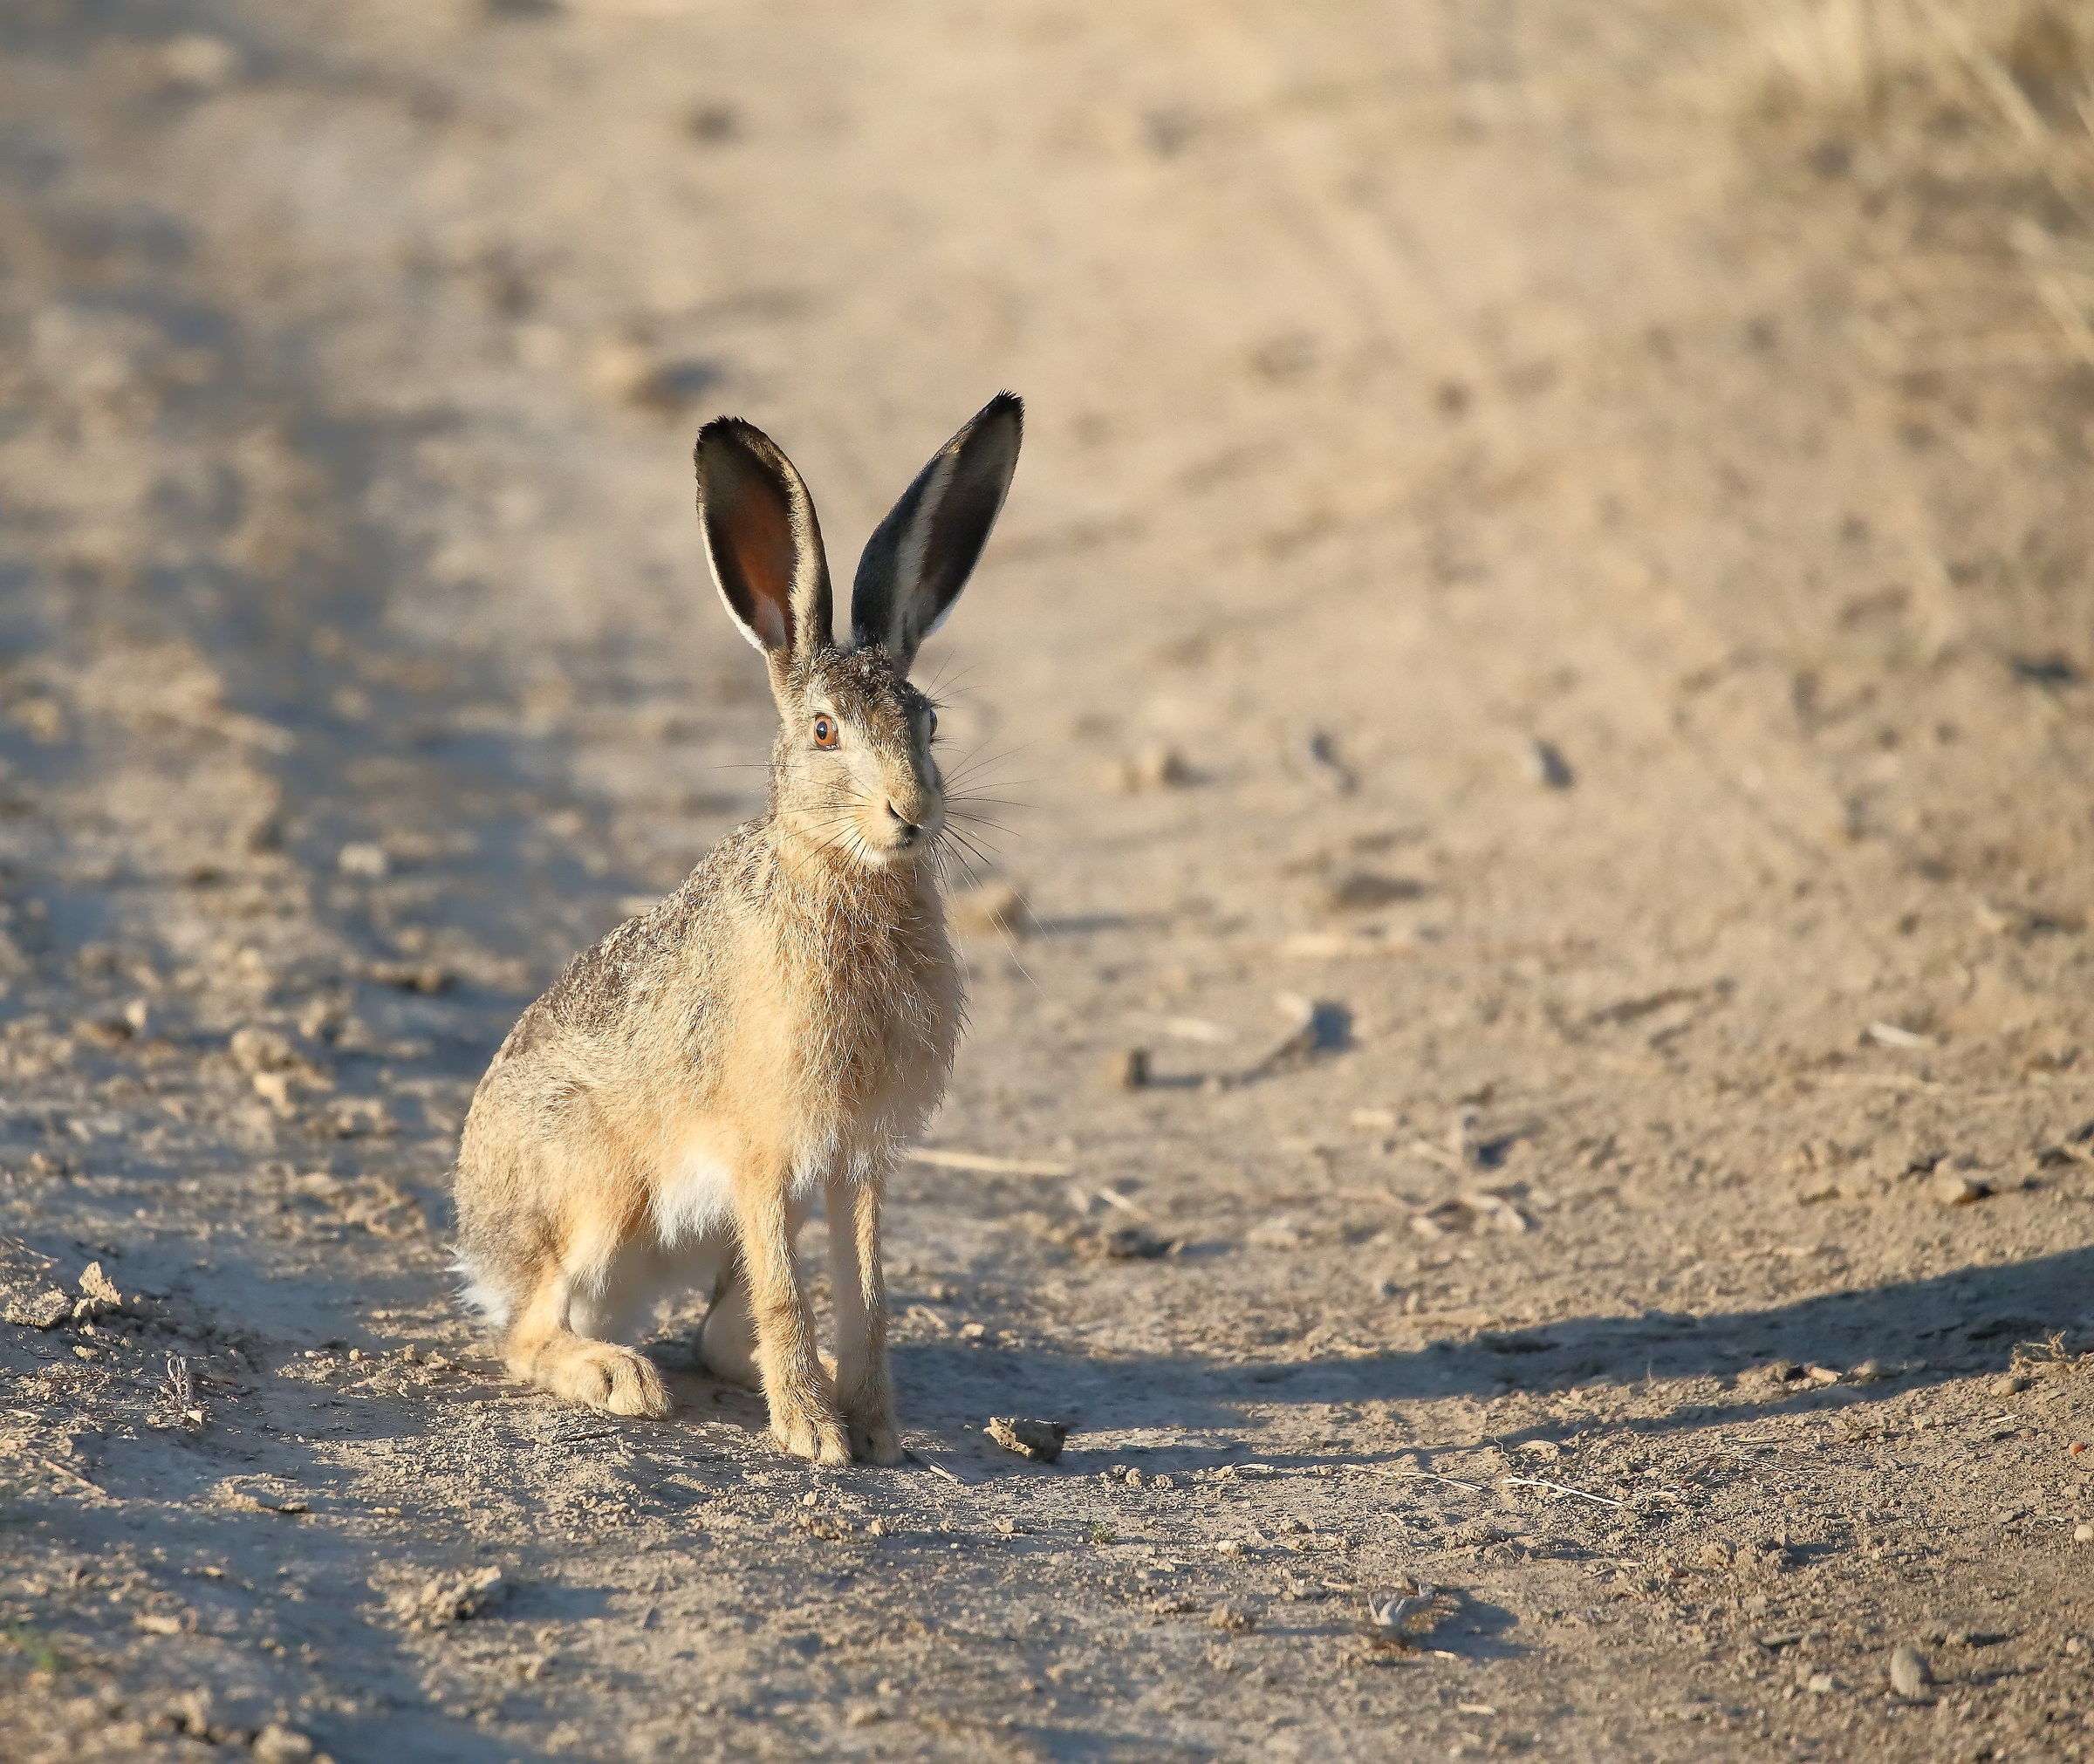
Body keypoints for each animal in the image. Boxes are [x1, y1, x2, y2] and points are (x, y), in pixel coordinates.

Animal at [451, 393, 1023, 1465]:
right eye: (825, 732)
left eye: (929, 724)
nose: (911, 813)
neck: (843, 872)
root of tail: (482, 1243)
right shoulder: (764, 1147)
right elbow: (793, 1295)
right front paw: (815, 1437)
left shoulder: (856, 1158)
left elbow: (868, 1292)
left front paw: (876, 1429)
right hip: (599, 1197)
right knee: (530, 1331)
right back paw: (620, 1378)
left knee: (715, 1330)